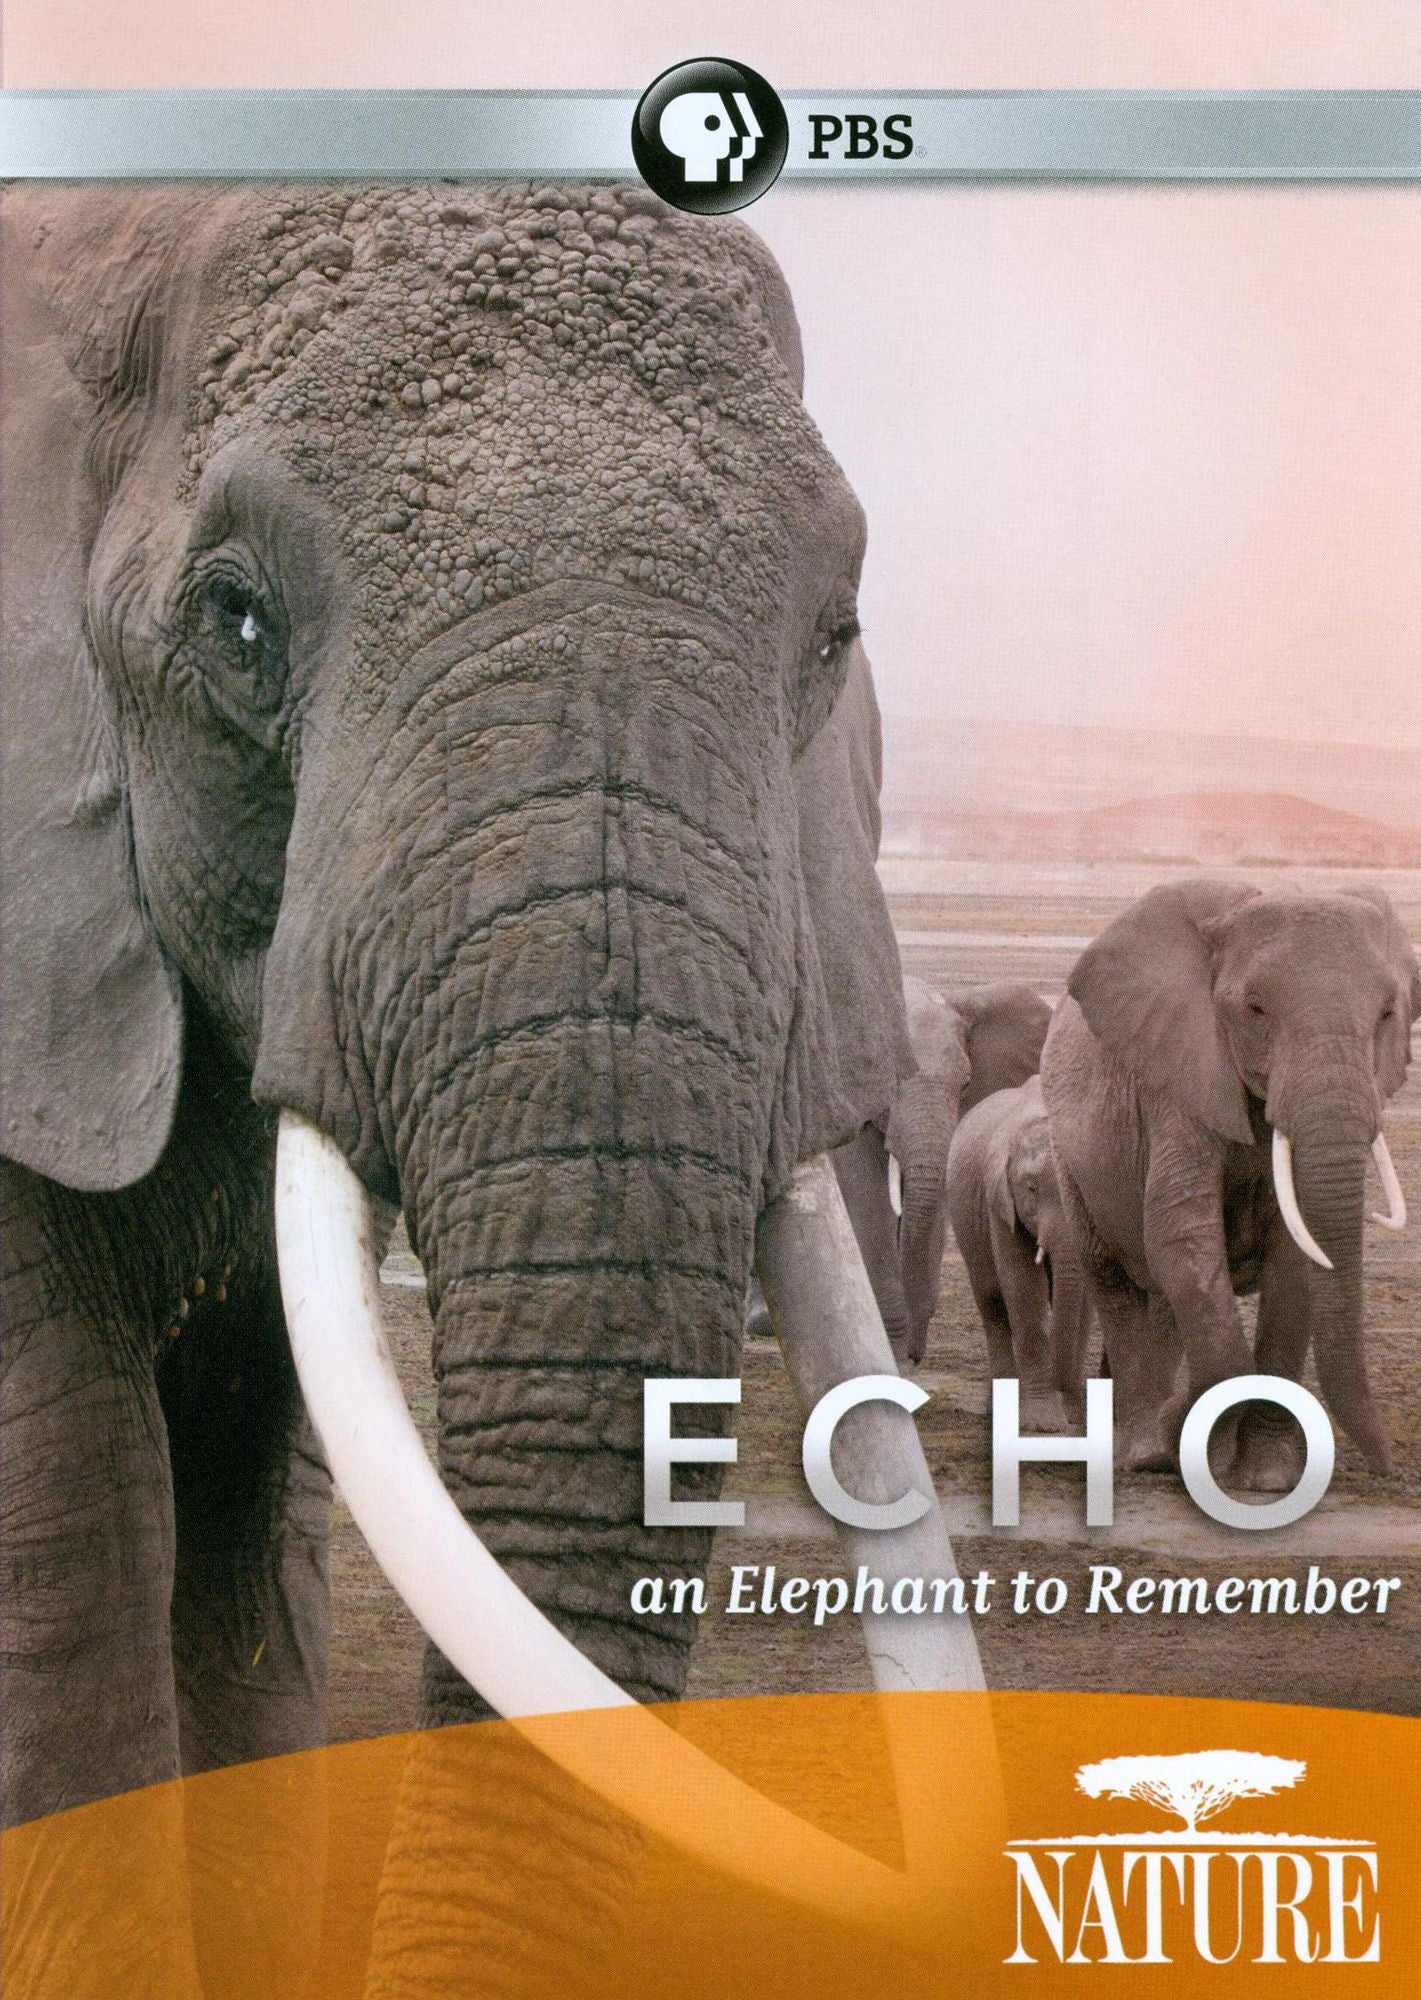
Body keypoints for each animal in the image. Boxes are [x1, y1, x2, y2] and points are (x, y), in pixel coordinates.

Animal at [945, 1075, 1091, 1431]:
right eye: (1031, 1189)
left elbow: (1085, 1305)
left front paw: (1075, 1418)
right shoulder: (998, 1201)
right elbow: (1023, 1290)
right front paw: (1044, 1425)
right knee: (993, 1306)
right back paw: (998, 1411)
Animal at [1039, 875, 1418, 1489]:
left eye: (1388, 1013)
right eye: (1254, 1009)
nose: (1388, 1470)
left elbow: (1295, 1261)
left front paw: (1267, 1479)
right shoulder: (1179, 1079)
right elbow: (1181, 1235)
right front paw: (1186, 1447)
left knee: (1163, 1300)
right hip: (1068, 1154)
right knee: (1112, 1278)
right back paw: (1142, 1450)